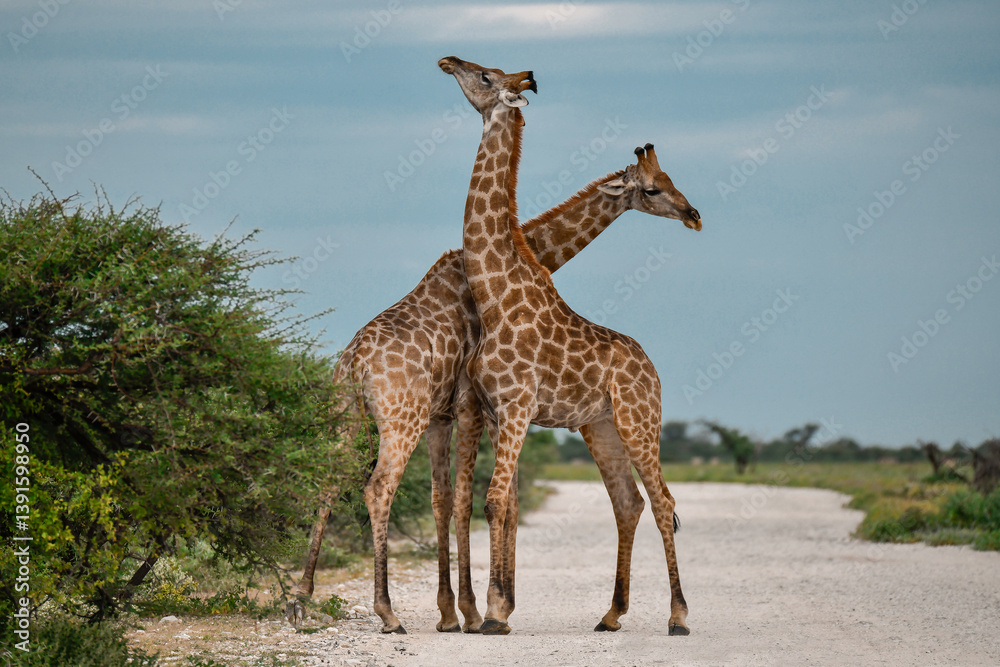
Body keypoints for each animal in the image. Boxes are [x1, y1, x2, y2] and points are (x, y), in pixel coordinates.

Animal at [440, 56, 700, 636]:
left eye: (484, 76)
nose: (447, 61)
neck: (493, 295)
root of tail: (653, 370)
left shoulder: (516, 407)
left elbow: (495, 500)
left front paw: (494, 613)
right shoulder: (495, 409)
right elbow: (500, 502)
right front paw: (496, 608)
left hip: (639, 421)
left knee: (664, 500)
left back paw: (678, 616)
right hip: (600, 426)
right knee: (628, 502)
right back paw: (611, 614)